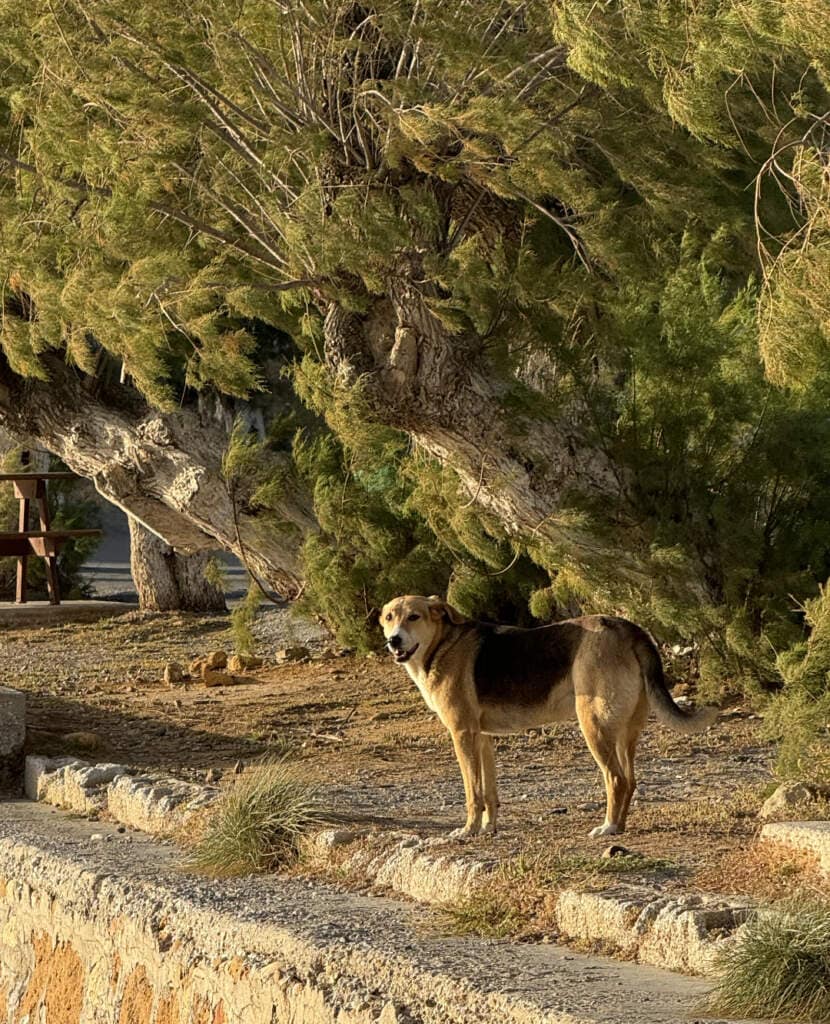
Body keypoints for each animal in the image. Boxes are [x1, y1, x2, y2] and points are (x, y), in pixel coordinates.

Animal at [380, 598, 716, 835]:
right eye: (389, 618)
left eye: (414, 617)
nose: (394, 640)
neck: (441, 644)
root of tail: (628, 628)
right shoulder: (482, 739)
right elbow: (489, 793)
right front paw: (488, 829)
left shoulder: (462, 735)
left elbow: (473, 793)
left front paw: (468, 831)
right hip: (623, 732)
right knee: (630, 780)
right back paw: (619, 826)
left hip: (594, 726)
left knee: (616, 779)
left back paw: (607, 827)